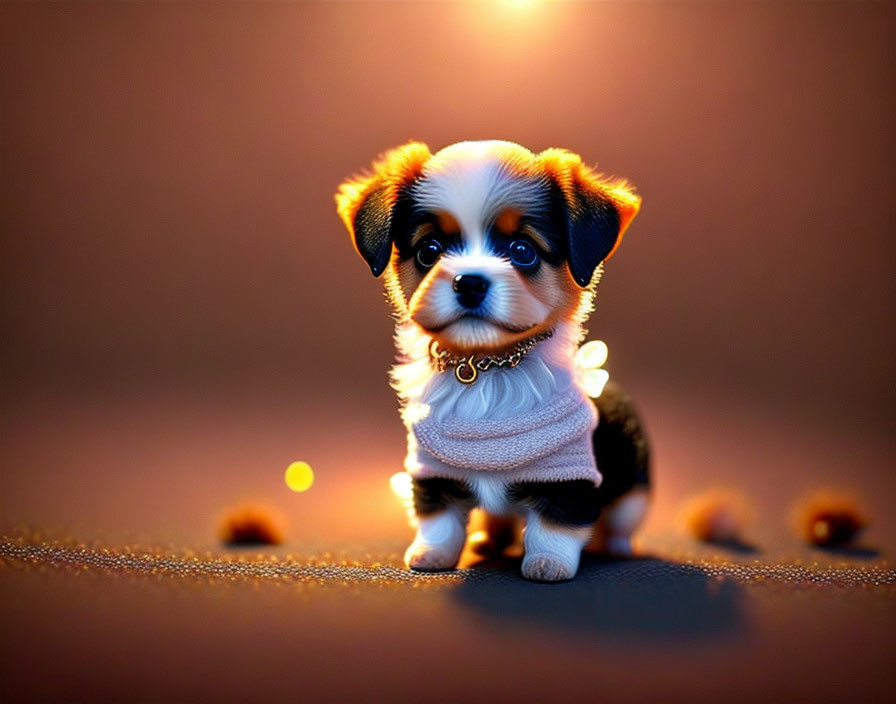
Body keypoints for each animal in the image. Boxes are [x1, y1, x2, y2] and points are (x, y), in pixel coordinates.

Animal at [332, 140, 648, 580]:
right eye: (430, 250)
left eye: (523, 250)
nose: (469, 282)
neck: (487, 367)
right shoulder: (432, 467)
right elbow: (438, 518)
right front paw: (431, 554)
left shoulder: (567, 469)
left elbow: (555, 523)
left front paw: (548, 563)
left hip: (634, 483)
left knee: (620, 517)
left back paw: (617, 546)